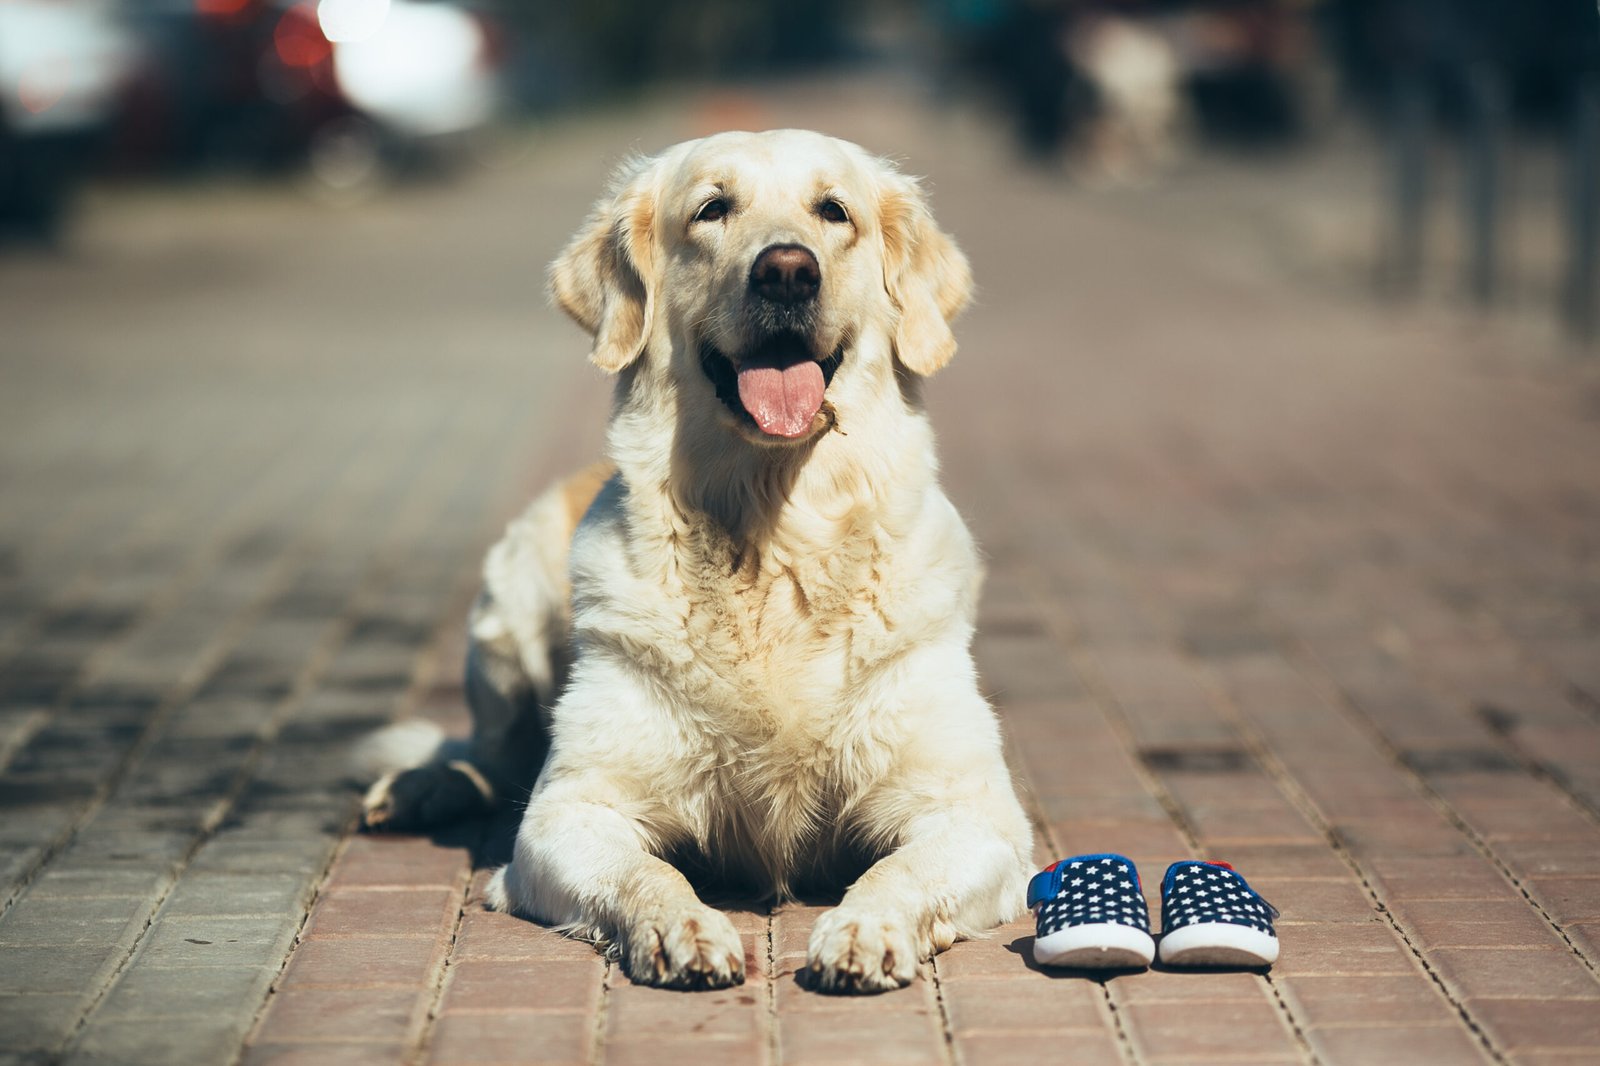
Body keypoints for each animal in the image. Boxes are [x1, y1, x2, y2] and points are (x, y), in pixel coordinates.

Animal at [361, 130, 1030, 985]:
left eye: (833, 211)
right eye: (713, 209)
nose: (788, 270)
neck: (774, 542)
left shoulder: (973, 812)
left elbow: (899, 870)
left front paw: (863, 929)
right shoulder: (568, 811)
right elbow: (643, 872)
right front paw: (680, 929)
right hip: (507, 615)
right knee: (487, 750)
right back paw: (420, 787)